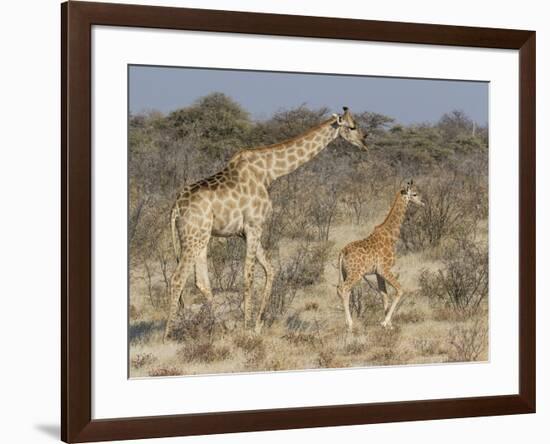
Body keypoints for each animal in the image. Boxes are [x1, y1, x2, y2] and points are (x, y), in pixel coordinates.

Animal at [166, 106, 368, 340]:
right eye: (352, 127)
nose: (365, 140)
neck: (269, 172)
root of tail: (176, 207)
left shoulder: (245, 232)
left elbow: (271, 270)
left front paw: (257, 325)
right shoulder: (254, 226)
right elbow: (248, 276)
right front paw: (247, 327)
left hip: (201, 237)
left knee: (201, 282)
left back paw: (216, 328)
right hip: (193, 236)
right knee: (177, 278)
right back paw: (168, 334)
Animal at [336, 180, 426, 330]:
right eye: (414, 194)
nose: (423, 203)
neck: (391, 235)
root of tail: (343, 252)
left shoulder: (378, 272)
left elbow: (384, 295)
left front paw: (388, 325)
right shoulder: (385, 268)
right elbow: (400, 290)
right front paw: (385, 322)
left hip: (345, 273)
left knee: (343, 290)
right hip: (356, 273)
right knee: (343, 289)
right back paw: (350, 324)